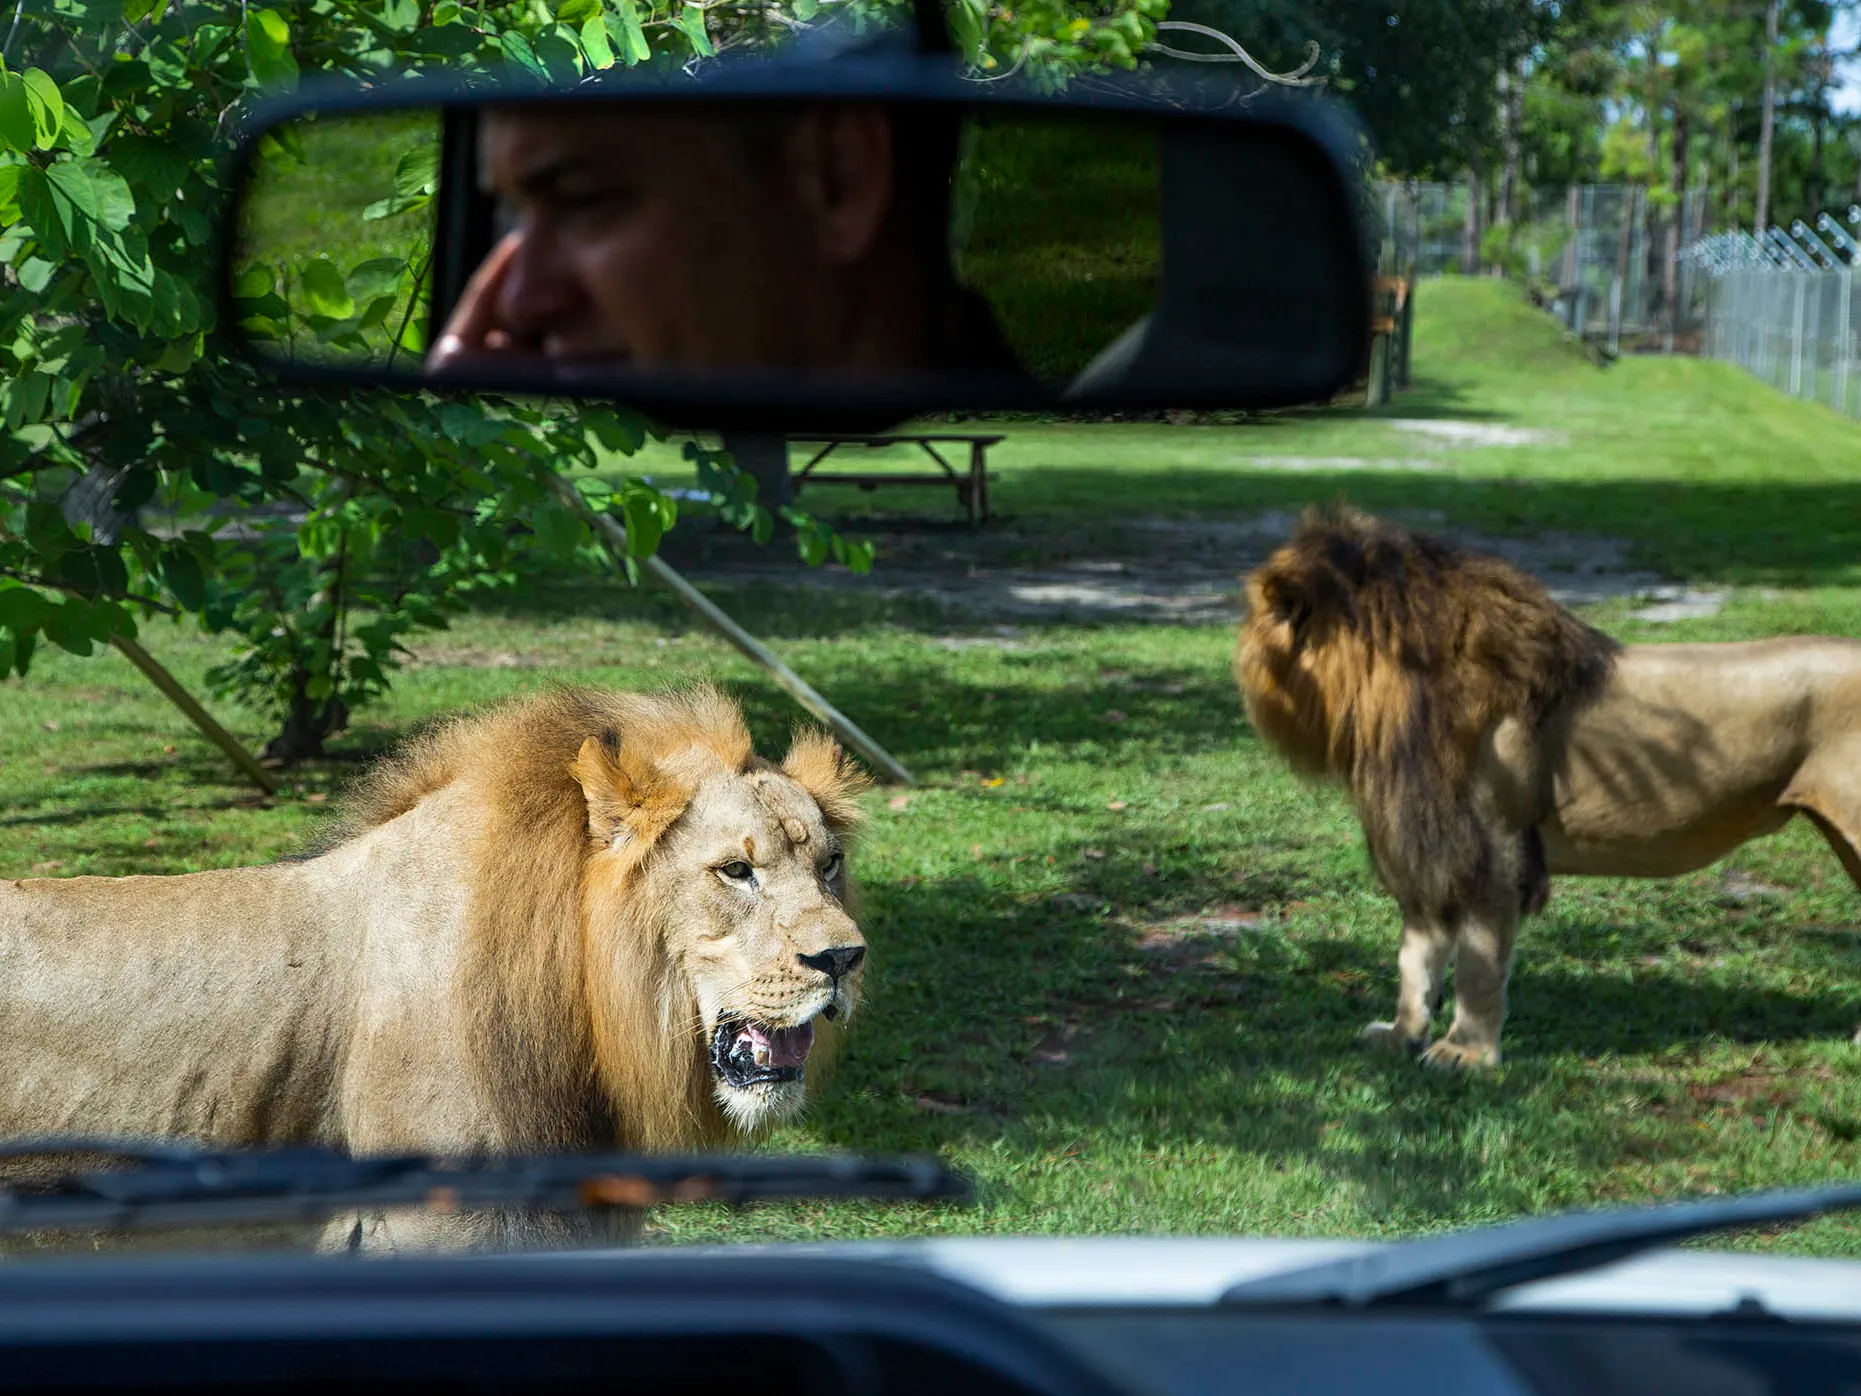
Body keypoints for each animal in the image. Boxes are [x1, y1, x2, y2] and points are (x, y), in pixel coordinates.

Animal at [1235, 506, 1861, 1070]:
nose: (1237, 661)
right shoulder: (1432, 848)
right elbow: (1416, 961)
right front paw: (1401, 1036)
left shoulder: (1493, 849)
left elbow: (1477, 969)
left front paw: (1466, 1054)